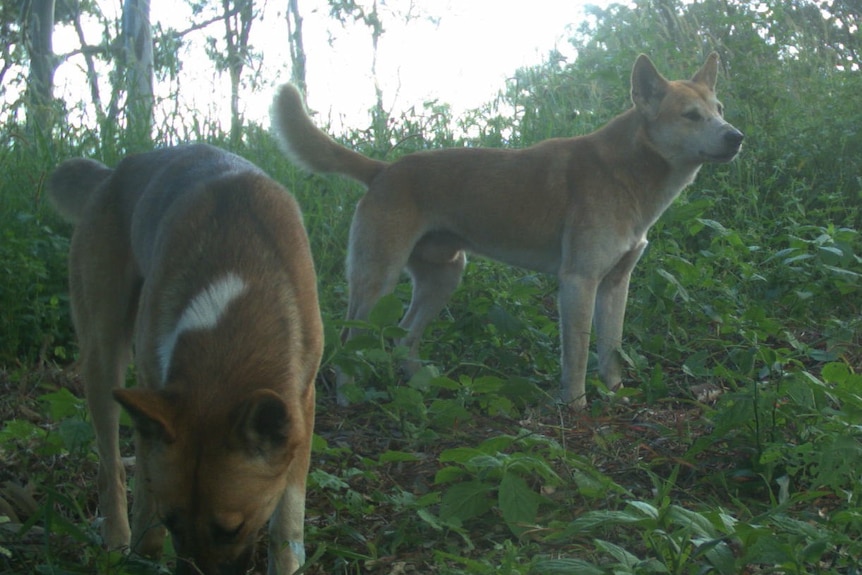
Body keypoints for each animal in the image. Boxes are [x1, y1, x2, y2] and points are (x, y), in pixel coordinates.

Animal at [49, 143, 324, 572]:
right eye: (172, 520)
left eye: (231, 529)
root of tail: (111, 175)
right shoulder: (152, 392)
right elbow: (146, 506)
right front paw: (142, 557)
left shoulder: (301, 402)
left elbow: (288, 515)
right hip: (102, 357)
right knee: (111, 468)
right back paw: (115, 540)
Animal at [272, 51, 744, 408]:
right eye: (690, 115)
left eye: (719, 111)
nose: (736, 136)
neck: (628, 174)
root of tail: (383, 170)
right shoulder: (578, 281)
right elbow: (576, 354)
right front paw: (576, 407)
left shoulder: (615, 284)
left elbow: (611, 349)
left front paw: (615, 396)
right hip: (376, 281)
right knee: (348, 340)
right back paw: (348, 396)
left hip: (444, 276)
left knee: (405, 337)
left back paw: (423, 386)